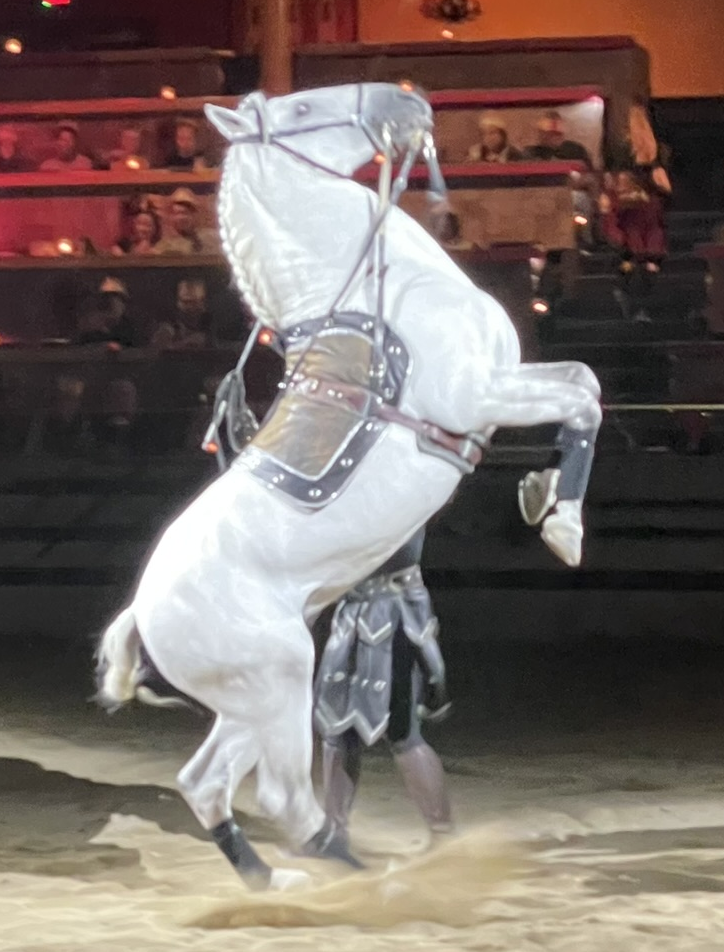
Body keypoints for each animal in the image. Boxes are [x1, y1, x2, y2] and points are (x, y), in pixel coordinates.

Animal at [96, 83, 604, 892]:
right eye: (301, 110)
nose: (405, 100)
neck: (389, 300)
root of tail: (143, 614)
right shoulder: (481, 393)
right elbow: (585, 398)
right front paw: (563, 525)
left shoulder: (501, 386)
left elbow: (582, 382)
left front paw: (542, 495)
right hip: (280, 681)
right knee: (282, 795)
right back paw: (352, 873)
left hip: (249, 700)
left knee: (206, 782)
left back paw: (277, 881)